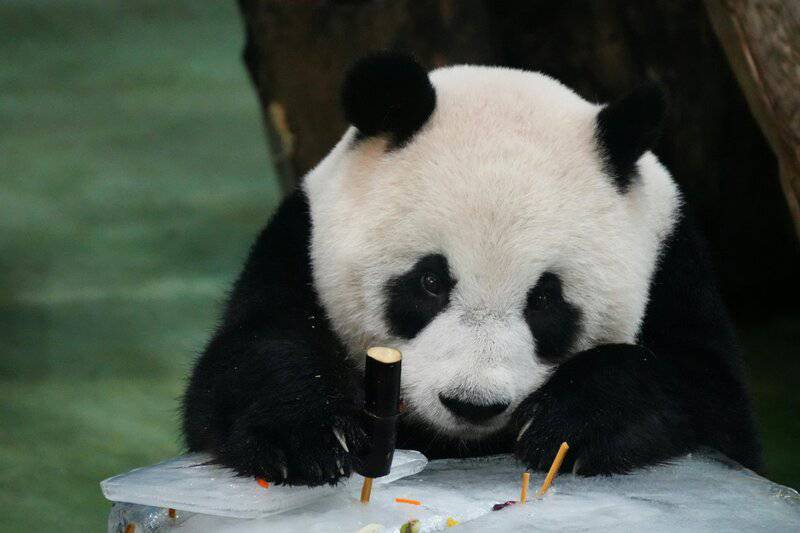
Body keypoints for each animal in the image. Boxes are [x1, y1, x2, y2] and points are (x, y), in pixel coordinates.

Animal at [182, 52, 761, 486]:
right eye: (430, 281)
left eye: (545, 299)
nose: (472, 404)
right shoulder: (297, 244)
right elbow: (242, 360)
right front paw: (314, 434)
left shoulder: (674, 263)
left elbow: (708, 395)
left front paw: (569, 422)